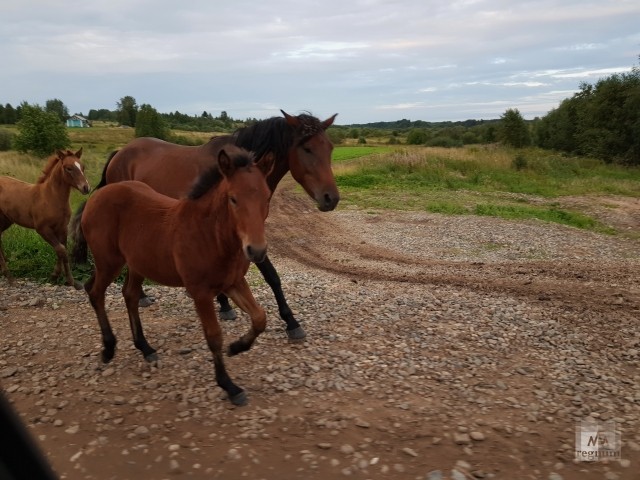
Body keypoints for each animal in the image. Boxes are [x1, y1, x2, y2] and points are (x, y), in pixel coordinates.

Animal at [0, 148, 90, 286]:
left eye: (83, 166)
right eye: (68, 168)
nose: (86, 188)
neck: (50, 197)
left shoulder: (62, 228)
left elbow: (62, 250)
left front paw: (66, 279)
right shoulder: (42, 229)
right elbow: (61, 250)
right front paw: (58, 276)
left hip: (6, 220)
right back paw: (10, 277)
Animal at [81, 146, 274, 404]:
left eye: (267, 197)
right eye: (233, 199)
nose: (257, 251)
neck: (210, 235)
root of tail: (95, 197)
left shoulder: (233, 282)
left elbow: (260, 317)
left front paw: (237, 347)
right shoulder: (200, 292)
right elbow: (214, 336)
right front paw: (229, 385)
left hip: (136, 264)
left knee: (128, 294)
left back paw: (145, 348)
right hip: (109, 263)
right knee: (96, 293)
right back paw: (109, 348)